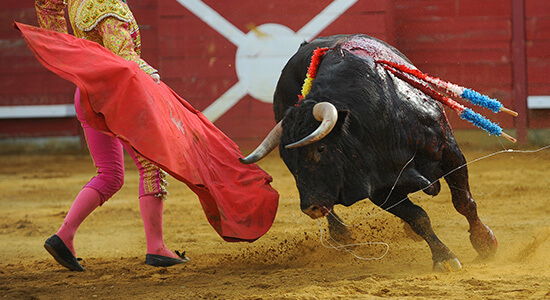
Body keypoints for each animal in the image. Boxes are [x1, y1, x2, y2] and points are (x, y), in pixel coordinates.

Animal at [242, 34, 500, 270]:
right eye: (288, 161)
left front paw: (485, 243)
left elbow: (463, 202)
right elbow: (418, 218)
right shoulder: (380, 189)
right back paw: (341, 233)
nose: (310, 208)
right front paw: (444, 258)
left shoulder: (450, 153)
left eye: (320, 148)